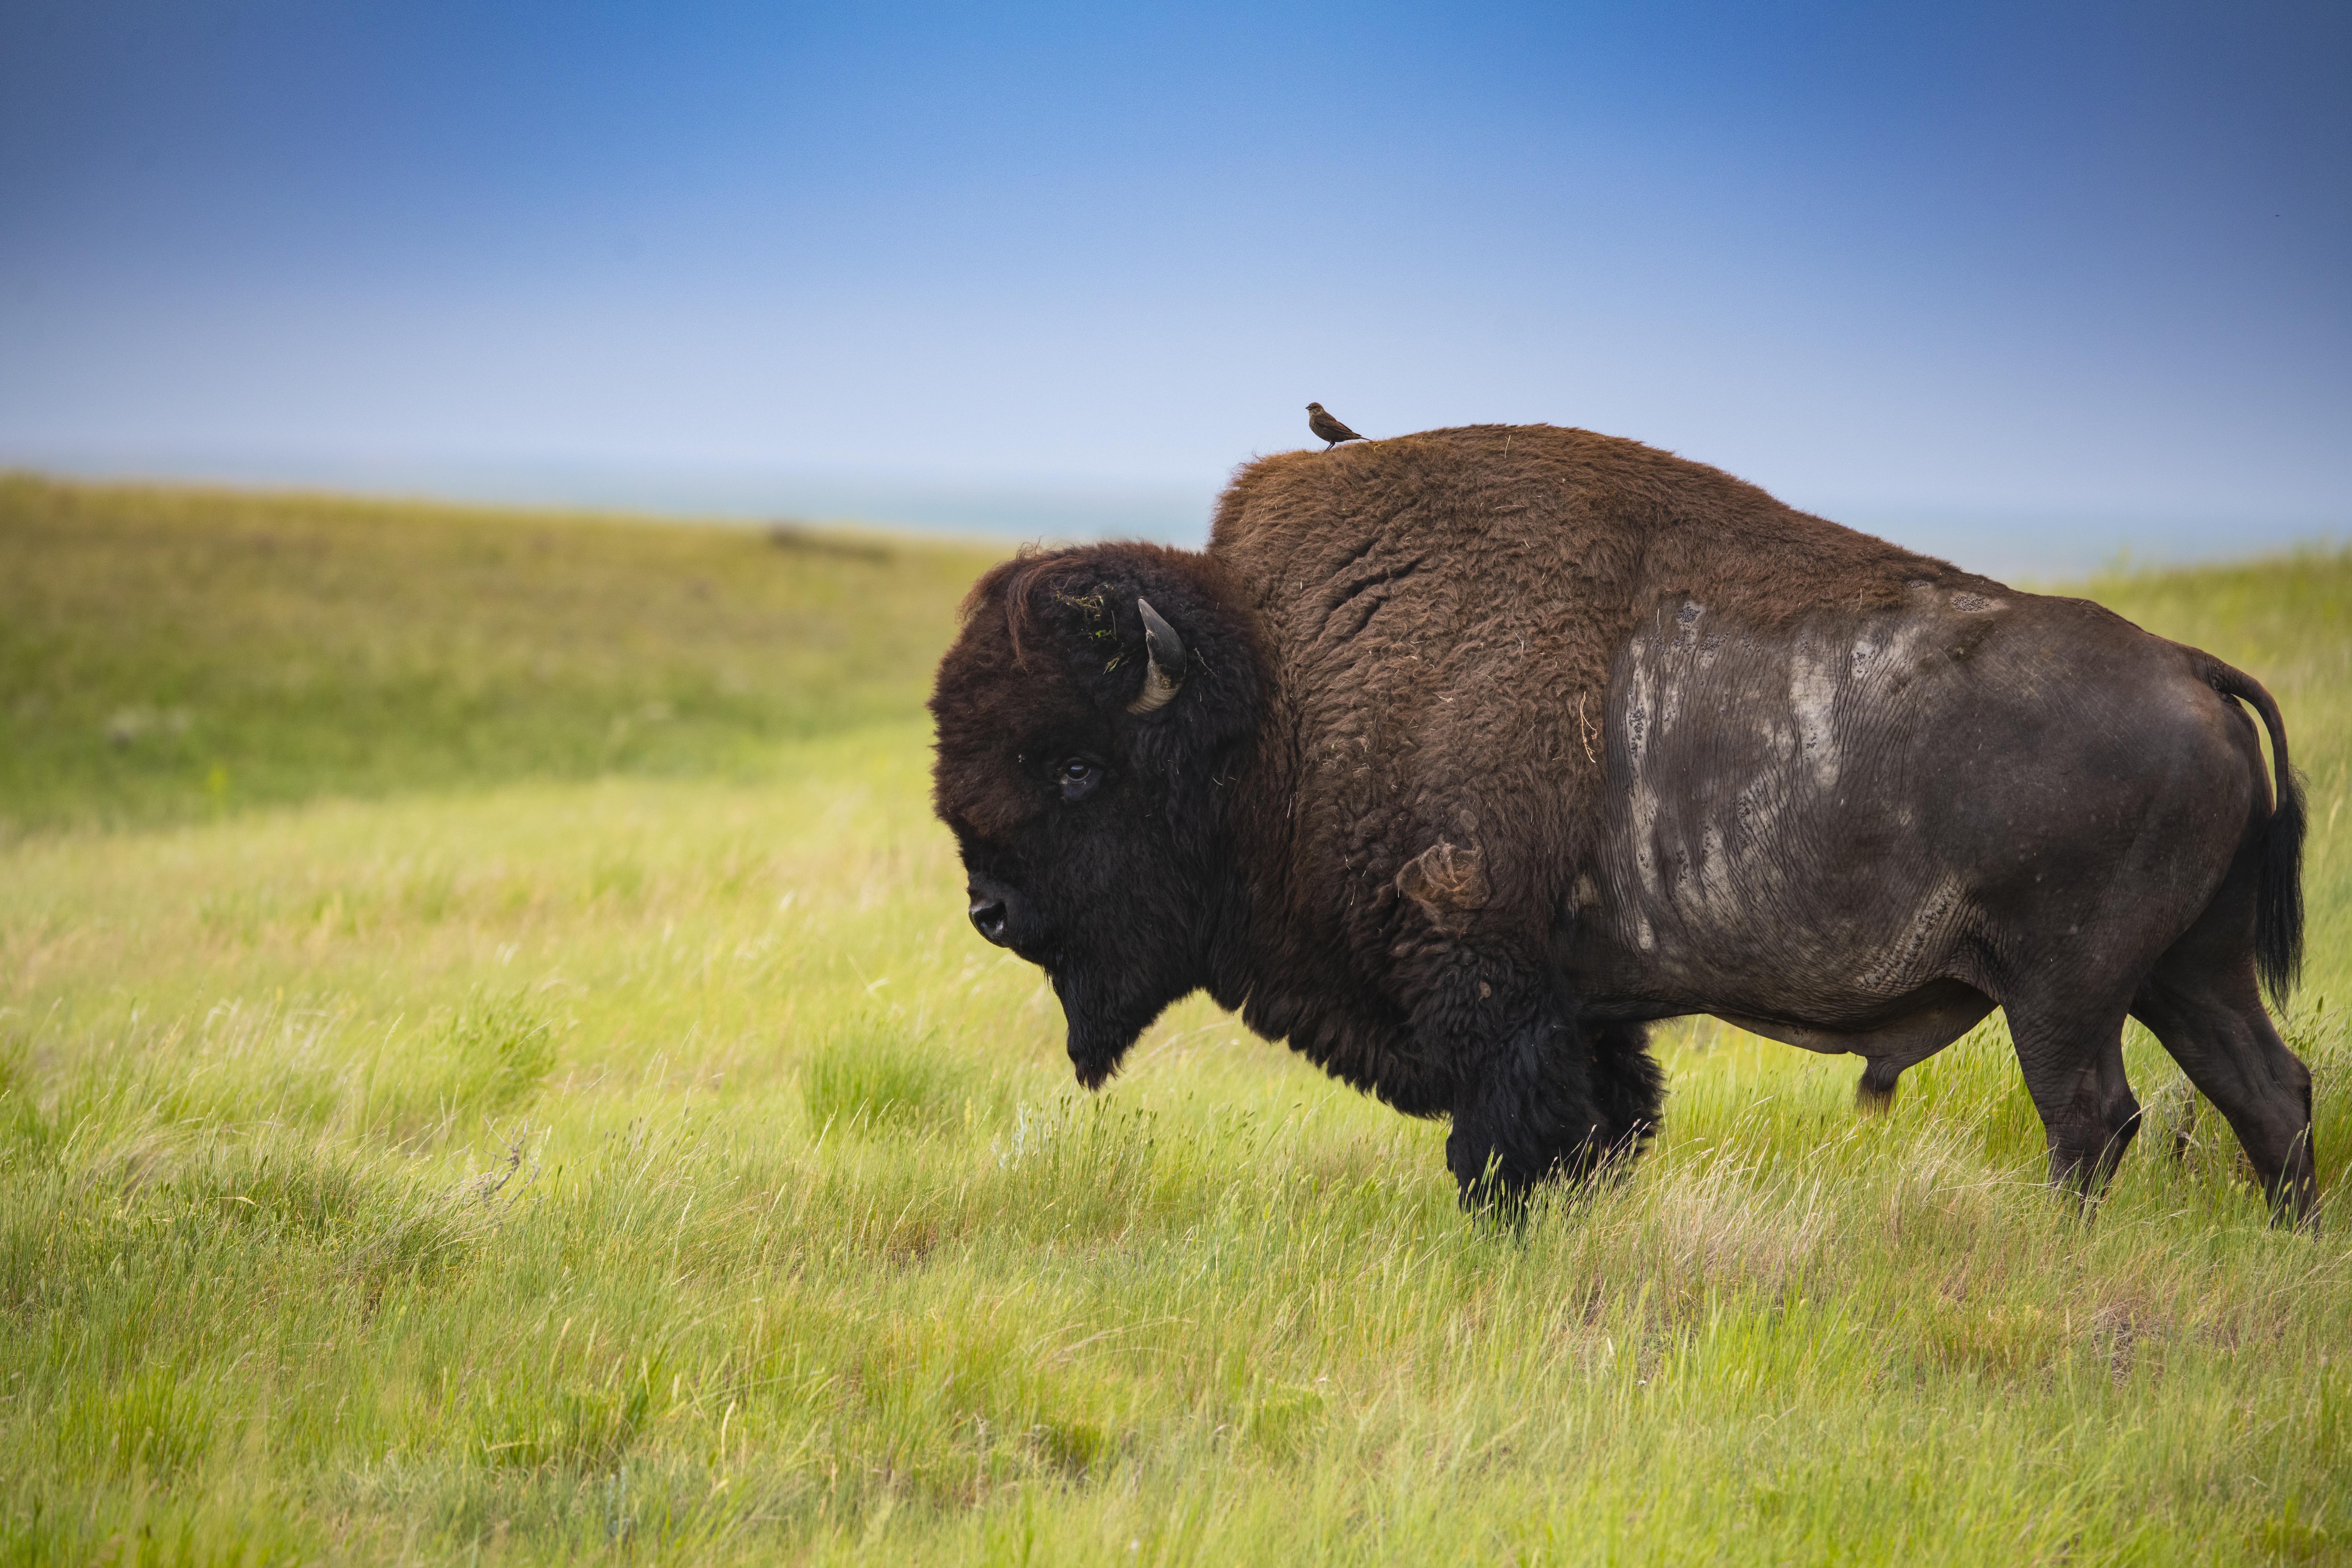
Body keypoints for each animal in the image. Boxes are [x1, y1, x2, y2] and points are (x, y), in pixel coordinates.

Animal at [929, 424, 2312, 1219]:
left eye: (1075, 767)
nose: (987, 912)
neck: (1279, 698)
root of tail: (2192, 671)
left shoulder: (1486, 987)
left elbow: (1510, 1141)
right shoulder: (1584, 1011)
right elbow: (1605, 1123)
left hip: (2066, 988)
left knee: (2093, 1117)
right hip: (2190, 970)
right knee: (2270, 1091)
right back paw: (2286, 1237)